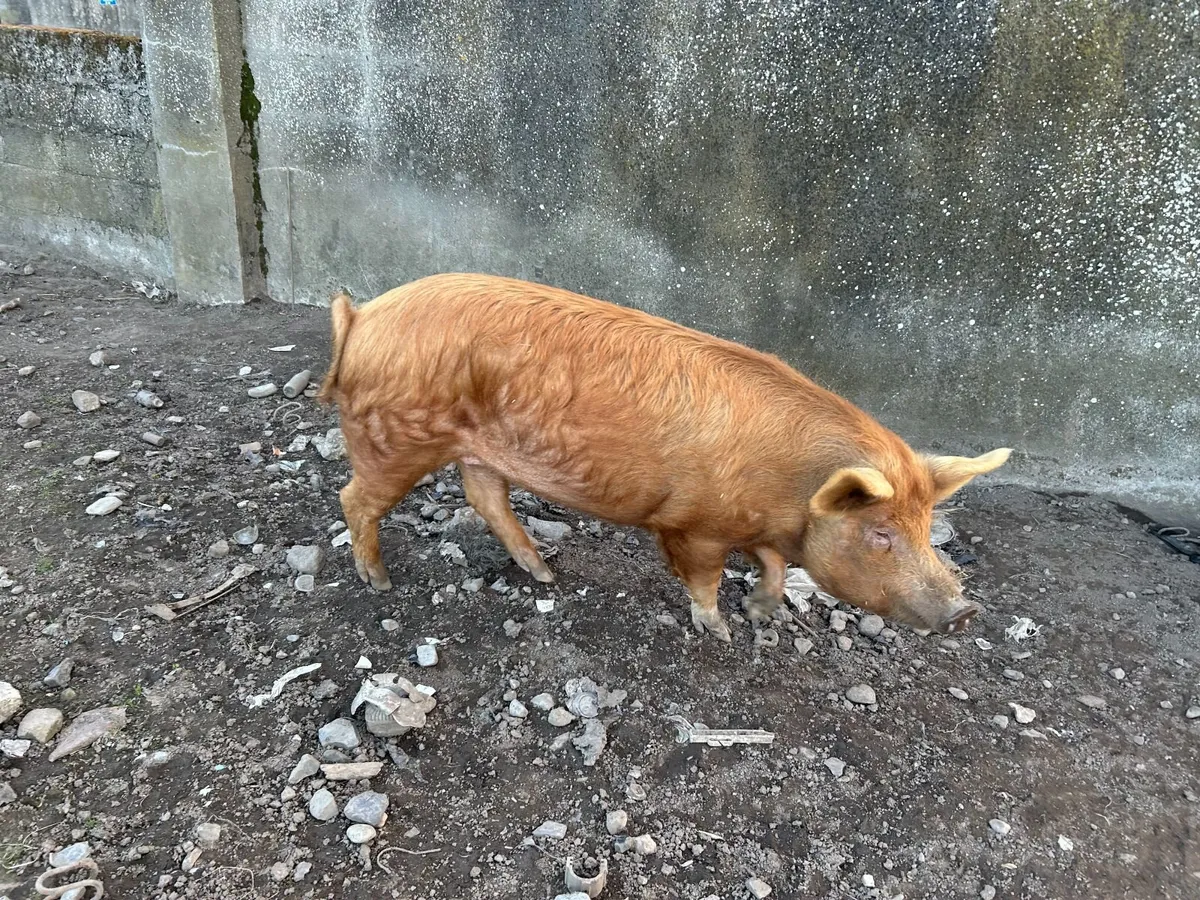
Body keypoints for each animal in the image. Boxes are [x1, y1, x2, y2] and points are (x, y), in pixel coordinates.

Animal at [317, 273, 1011, 642]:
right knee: (354, 498)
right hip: (395, 438)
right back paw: (379, 582)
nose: (966, 610)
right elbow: (704, 576)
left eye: (925, 527)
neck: (790, 491)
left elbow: (772, 565)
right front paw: (720, 629)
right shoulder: (692, 524)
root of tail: (361, 316)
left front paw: (762, 611)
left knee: (484, 498)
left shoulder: (756, 527)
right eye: (881, 534)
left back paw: (545, 575)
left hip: (478, 450)